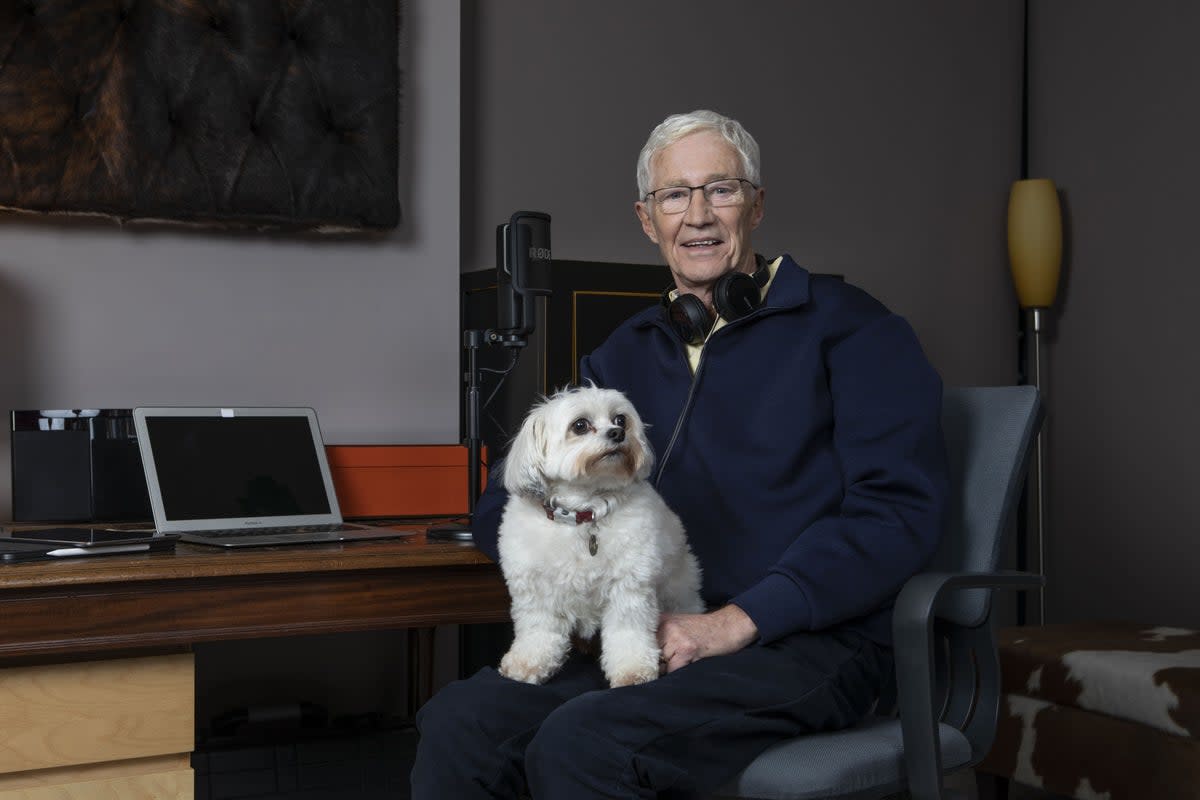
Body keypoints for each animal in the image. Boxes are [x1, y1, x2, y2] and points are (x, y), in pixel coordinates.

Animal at [496, 388, 700, 690]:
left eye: (621, 419)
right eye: (580, 425)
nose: (617, 433)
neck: (583, 513)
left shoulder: (629, 589)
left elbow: (628, 633)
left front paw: (633, 671)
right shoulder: (536, 591)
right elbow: (538, 630)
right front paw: (528, 663)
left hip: (680, 592)